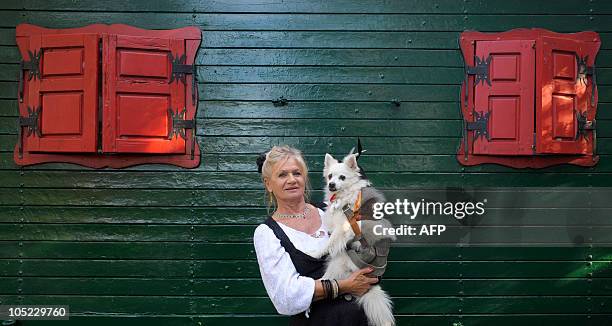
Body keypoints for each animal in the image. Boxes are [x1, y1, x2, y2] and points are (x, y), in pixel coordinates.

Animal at [306, 152, 396, 324]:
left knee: (323, 281)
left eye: (342, 177)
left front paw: (317, 252)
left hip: (337, 264)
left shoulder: (343, 228)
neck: (344, 196)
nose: (331, 185)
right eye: (330, 176)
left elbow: (330, 243)